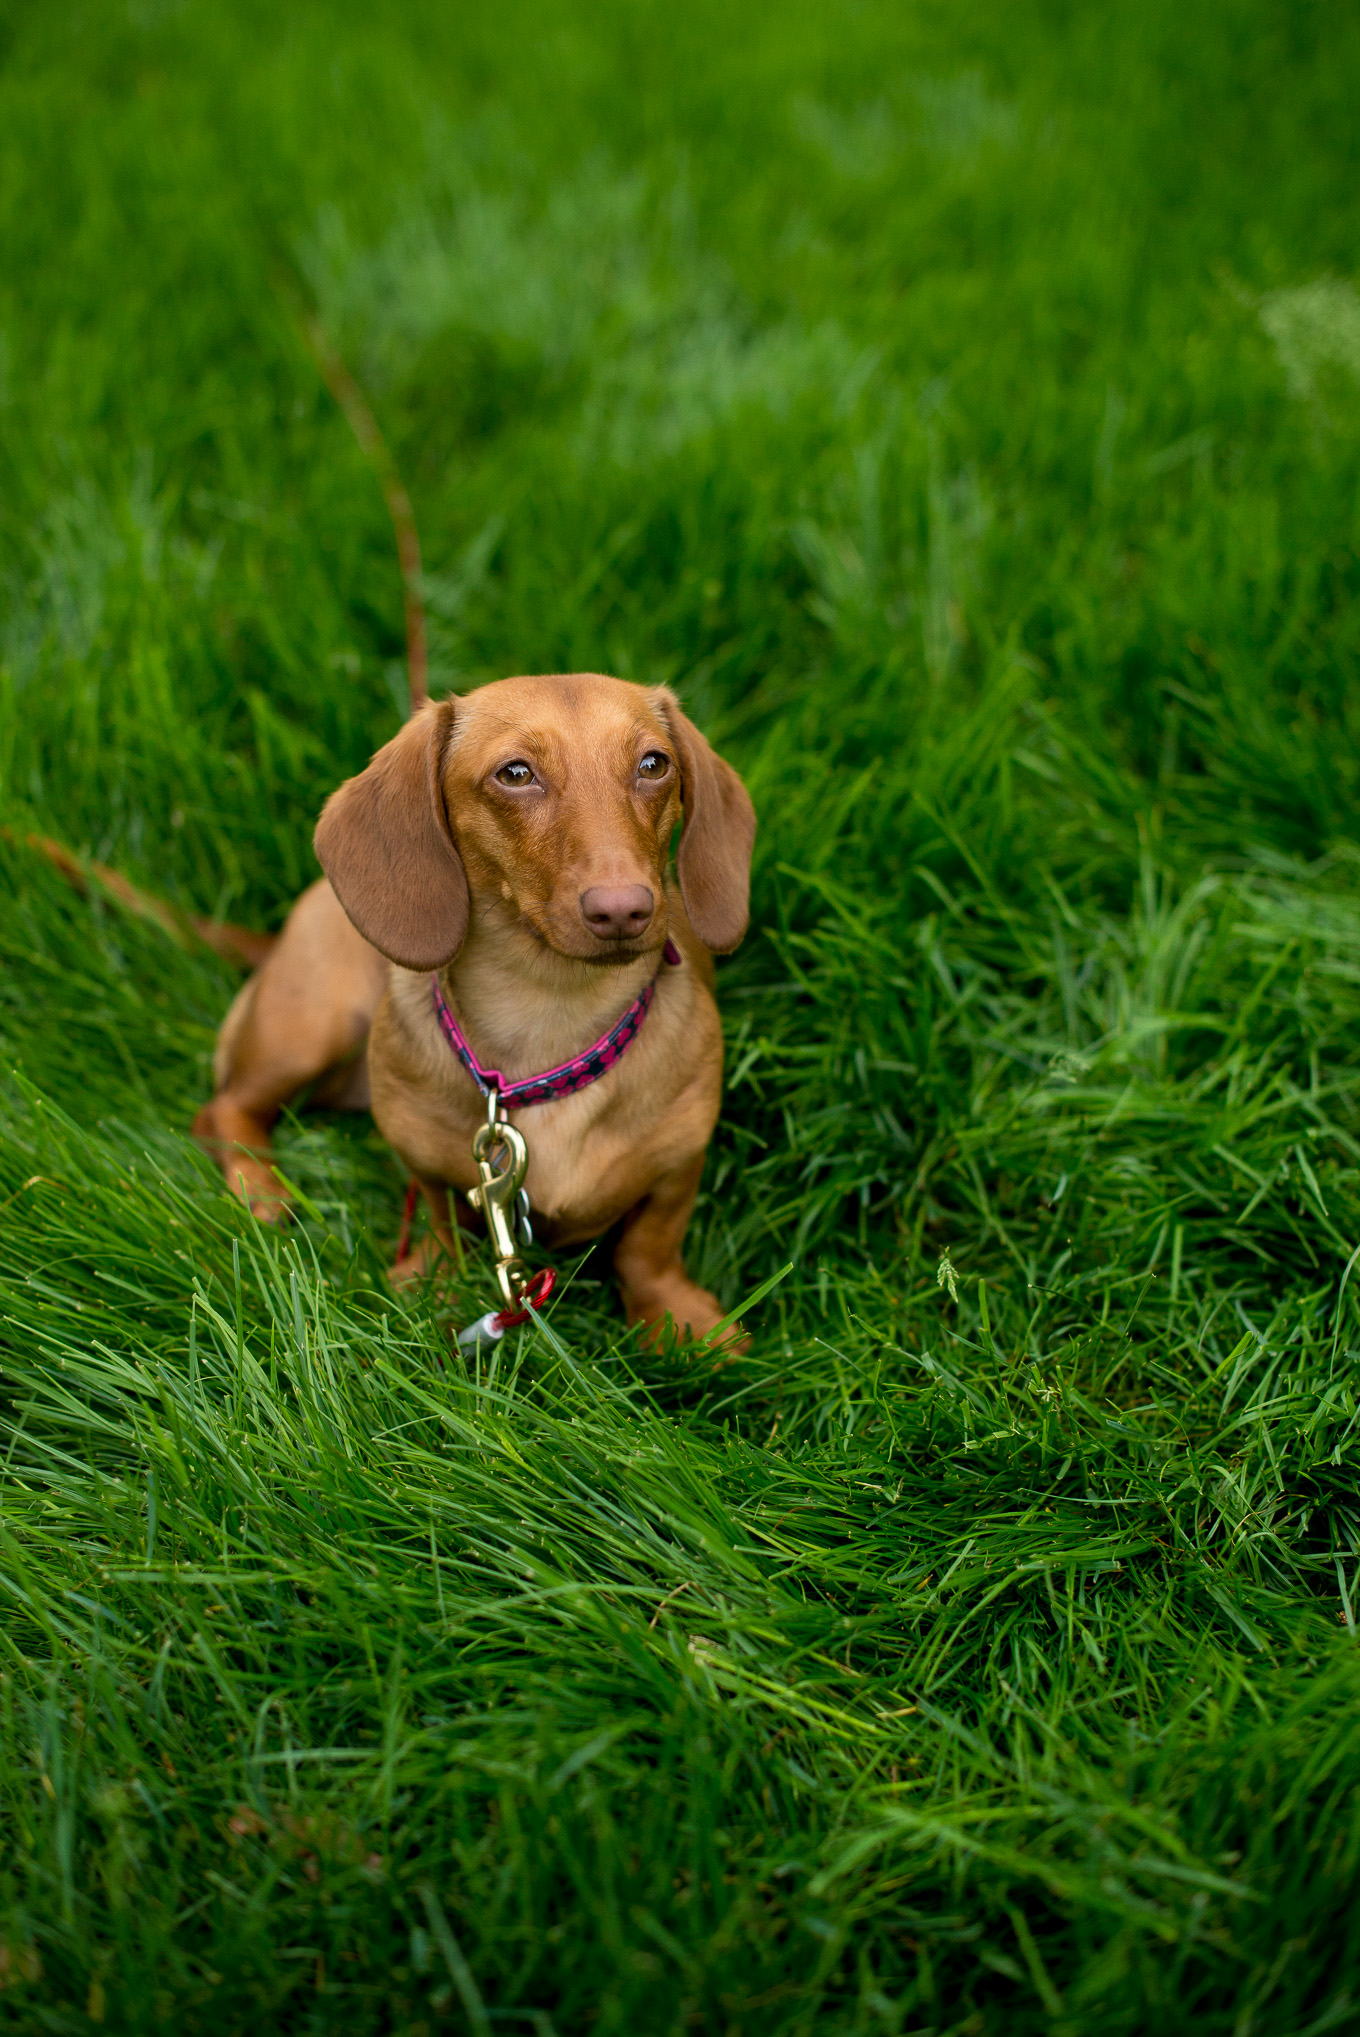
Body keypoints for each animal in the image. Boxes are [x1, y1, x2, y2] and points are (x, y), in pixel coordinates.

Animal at [193, 676, 753, 1344]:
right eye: (515, 773)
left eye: (653, 764)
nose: (624, 909)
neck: (551, 1012)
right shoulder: (430, 1167)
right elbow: (441, 1218)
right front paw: (430, 1284)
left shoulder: (679, 1164)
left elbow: (648, 1245)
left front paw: (675, 1319)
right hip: (309, 1030)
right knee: (223, 1111)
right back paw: (261, 1191)